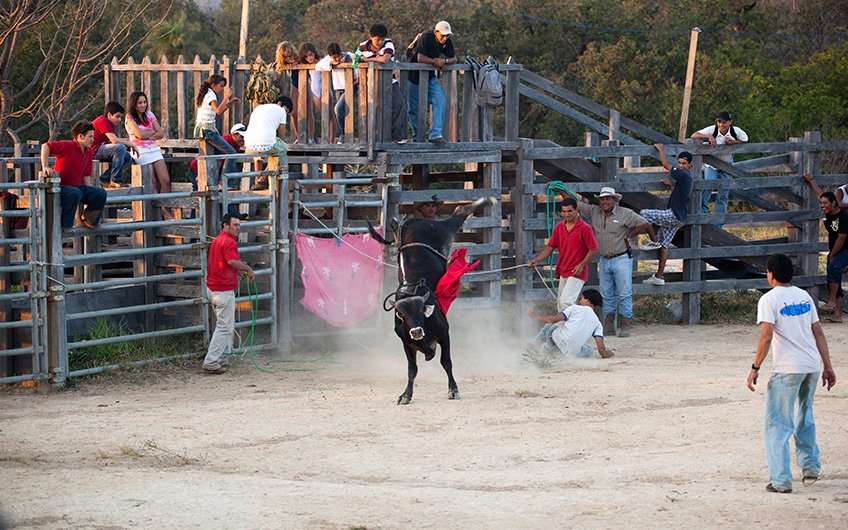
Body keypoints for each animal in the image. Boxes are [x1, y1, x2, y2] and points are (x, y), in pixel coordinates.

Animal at [368, 196, 494, 402]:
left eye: (420, 311)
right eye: (401, 314)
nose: (417, 331)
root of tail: (415, 221)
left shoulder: (444, 334)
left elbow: (446, 361)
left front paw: (453, 389)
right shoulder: (407, 344)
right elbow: (412, 369)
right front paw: (406, 395)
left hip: (446, 229)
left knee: (460, 212)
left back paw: (486, 200)